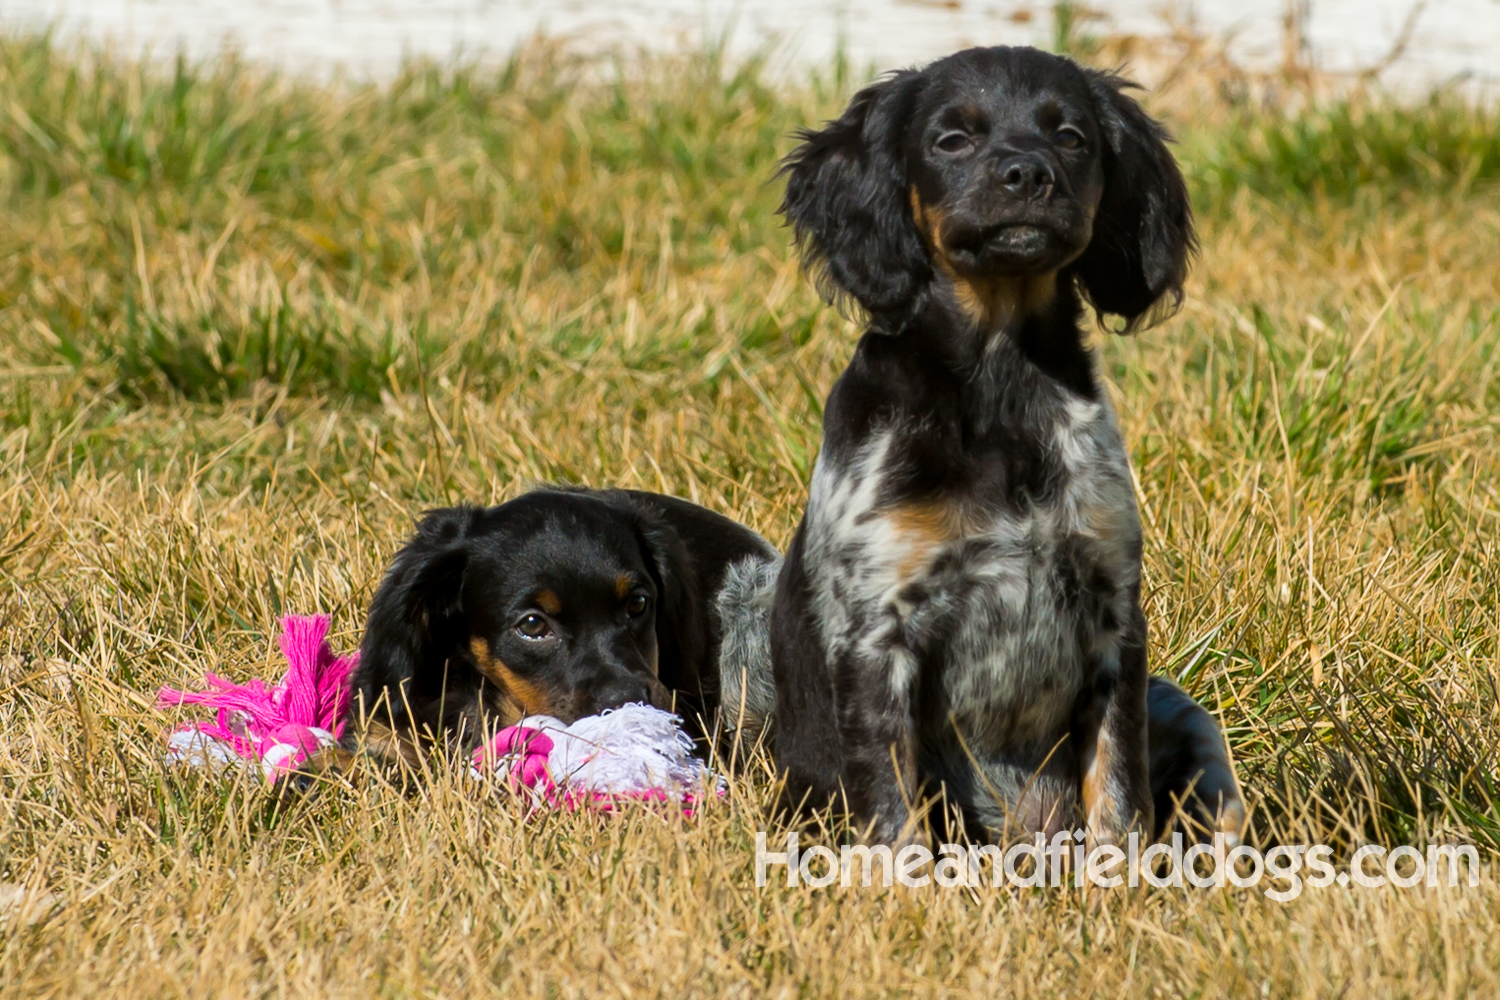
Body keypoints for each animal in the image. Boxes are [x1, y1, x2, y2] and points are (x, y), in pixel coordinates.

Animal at [768, 44, 1248, 845]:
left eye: (1072, 136)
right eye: (951, 139)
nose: (1028, 174)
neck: (1001, 383)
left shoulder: (1113, 614)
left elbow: (1119, 791)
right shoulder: (875, 634)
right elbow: (893, 813)